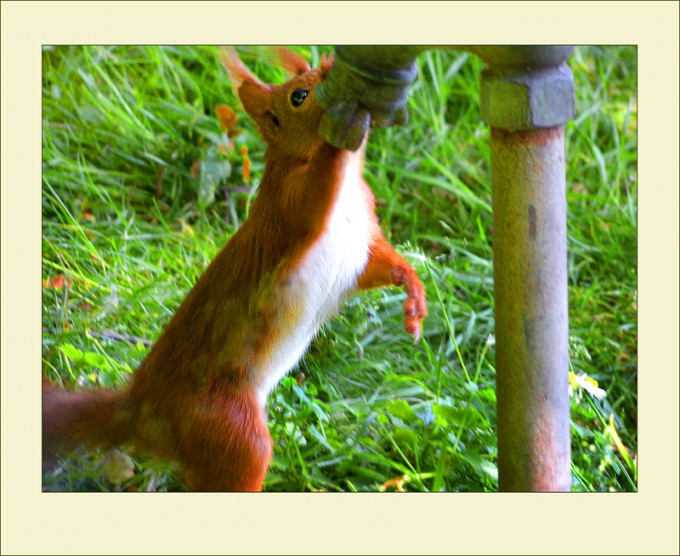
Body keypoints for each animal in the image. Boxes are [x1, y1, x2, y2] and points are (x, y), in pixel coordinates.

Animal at [43, 47, 427, 491]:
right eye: (298, 96)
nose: (331, 73)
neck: (347, 188)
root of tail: (142, 412)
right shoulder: (291, 206)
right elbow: (314, 196)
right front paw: (336, 137)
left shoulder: (360, 241)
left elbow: (379, 267)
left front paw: (413, 295)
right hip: (227, 425)